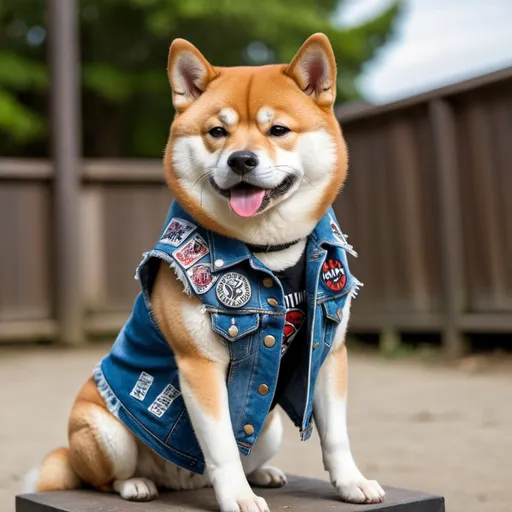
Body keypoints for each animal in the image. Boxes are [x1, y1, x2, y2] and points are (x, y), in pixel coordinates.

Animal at [25, 34, 384, 510]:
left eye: (278, 130)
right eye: (217, 132)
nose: (241, 160)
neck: (267, 250)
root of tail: (178, 480)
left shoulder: (326, 353)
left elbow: (336, 435)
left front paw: (352, 482)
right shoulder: (200, 366)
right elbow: (223, 445)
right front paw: (238, 498)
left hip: (270, 431)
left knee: (249, 456)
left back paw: (264, 474)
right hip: (103, 431)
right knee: (102, 478)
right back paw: (137, 484)